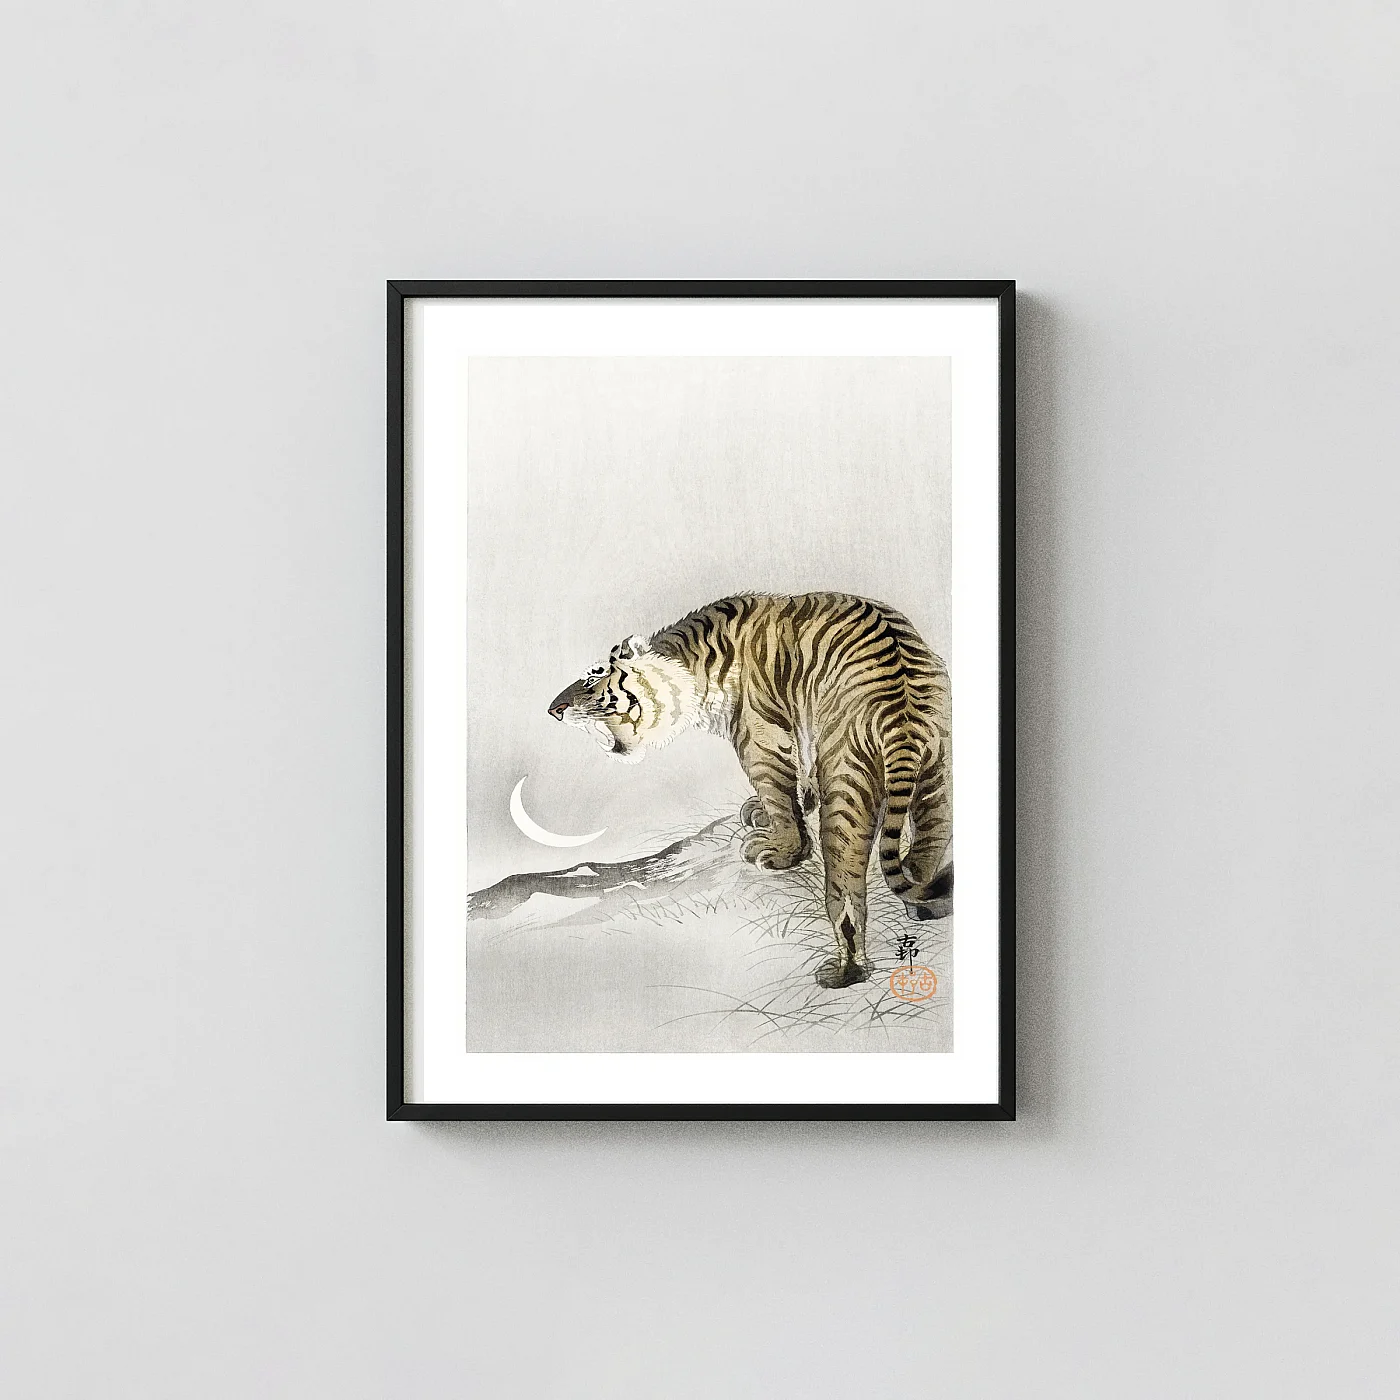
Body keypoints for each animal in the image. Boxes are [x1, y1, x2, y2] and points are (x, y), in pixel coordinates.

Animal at [547, 592, 952, 990]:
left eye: (592, 679)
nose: (554, 710)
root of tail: (902, 709)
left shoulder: (759, 738)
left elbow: (778, 795)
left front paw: (782, 850)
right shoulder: (801, 730)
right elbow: (798, 782)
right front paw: (772, 809)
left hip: (846, 780)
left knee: (846, 888)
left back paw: (845, 970)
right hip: (939, 773)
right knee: (930, 842)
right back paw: (927, 904)